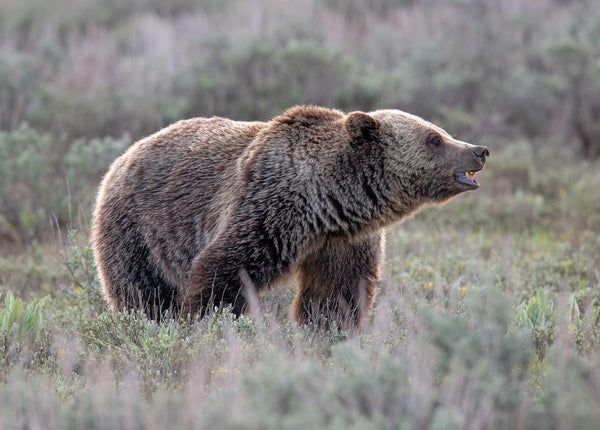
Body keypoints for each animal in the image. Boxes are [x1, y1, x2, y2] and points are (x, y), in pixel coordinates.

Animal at [92, 106, 488, 330]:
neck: (328, 203)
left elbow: (336, 293)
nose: (479, 150)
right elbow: (223, 271)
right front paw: (207, 325)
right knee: (142, 292)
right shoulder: (267, 209)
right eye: (434, 138)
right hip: (137, 227)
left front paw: (326, 332)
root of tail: (124, 155)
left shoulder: (346, 240)